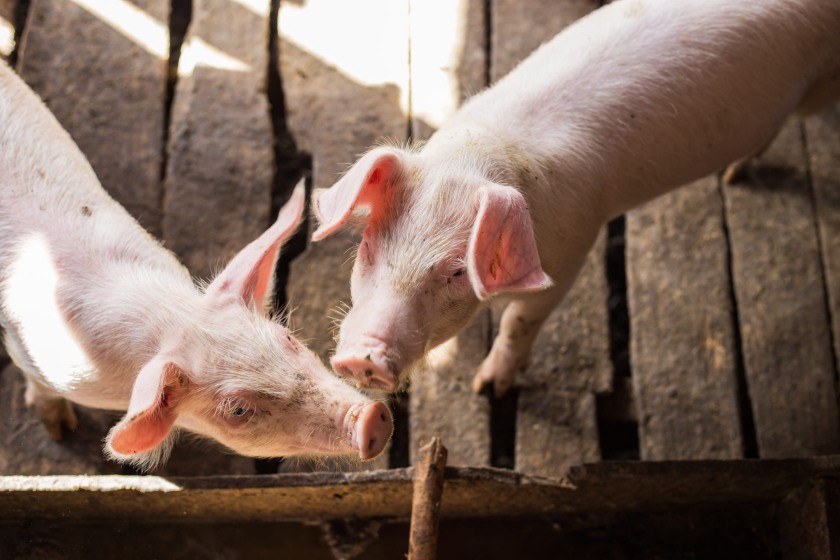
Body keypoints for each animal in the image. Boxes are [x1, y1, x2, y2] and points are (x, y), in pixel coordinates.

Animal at [0, 60, 392, 470]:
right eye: (238, 411)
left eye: (288, 339)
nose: (371, 418)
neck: (167, 318)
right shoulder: (37, 357)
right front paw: (60, 431)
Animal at [312, 0, 840, 396]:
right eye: (367, 245)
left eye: (457, 271)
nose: (360, 358)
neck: (482, 154)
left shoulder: (570, 254)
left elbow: (520, 322)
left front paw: (488, 388)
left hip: (820, 88)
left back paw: (735, 176)